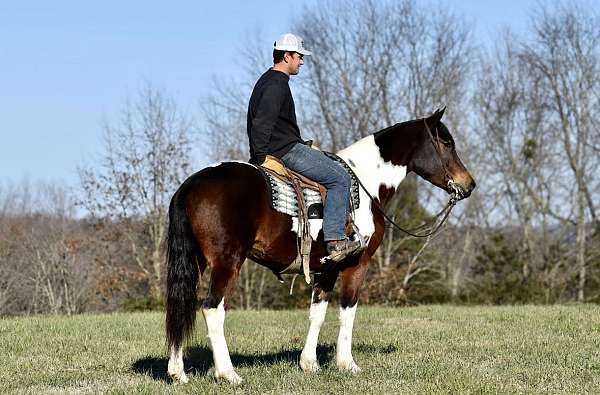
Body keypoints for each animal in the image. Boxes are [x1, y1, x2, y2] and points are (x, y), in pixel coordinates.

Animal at [163, 107, 474, 384]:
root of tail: (189, 186)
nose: (469, 184)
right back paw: (228, 374)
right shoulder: (356, 264)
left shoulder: (327, 269)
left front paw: (309, 363)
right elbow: (347, 311)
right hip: (228, 262)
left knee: (182, 306)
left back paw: (178, 373)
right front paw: (347, 364)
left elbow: (318, 313)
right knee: (212, 310)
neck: (365, 183)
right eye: (446, 143)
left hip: (197, 263)